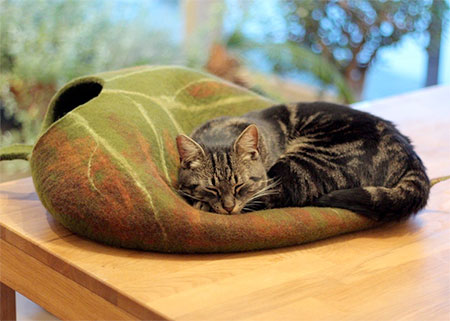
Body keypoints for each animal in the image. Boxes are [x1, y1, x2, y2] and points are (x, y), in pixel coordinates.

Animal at [175, 102, 428, 220]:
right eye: (211, 188)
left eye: (241, 185)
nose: (228, 207)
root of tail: (411, 156)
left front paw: (202, 204)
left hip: (302, 165)